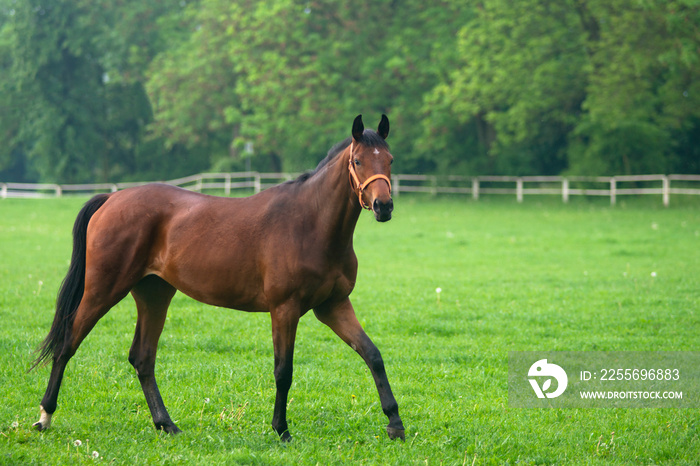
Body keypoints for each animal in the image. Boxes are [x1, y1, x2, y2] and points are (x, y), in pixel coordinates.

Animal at [31, 114, 404, 442]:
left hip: (154, 295)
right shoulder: (285, 309)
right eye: (358, 160)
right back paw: (45, 416)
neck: (310, 224)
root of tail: (112, 198)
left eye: (389, 159)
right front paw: (281, 430)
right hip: (103, 290)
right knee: (68, 343)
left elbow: (373, 355)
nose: (383, 206)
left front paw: (395, 425)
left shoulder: (333, 306)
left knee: (142, 358)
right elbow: (283, 371)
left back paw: (166, 424)